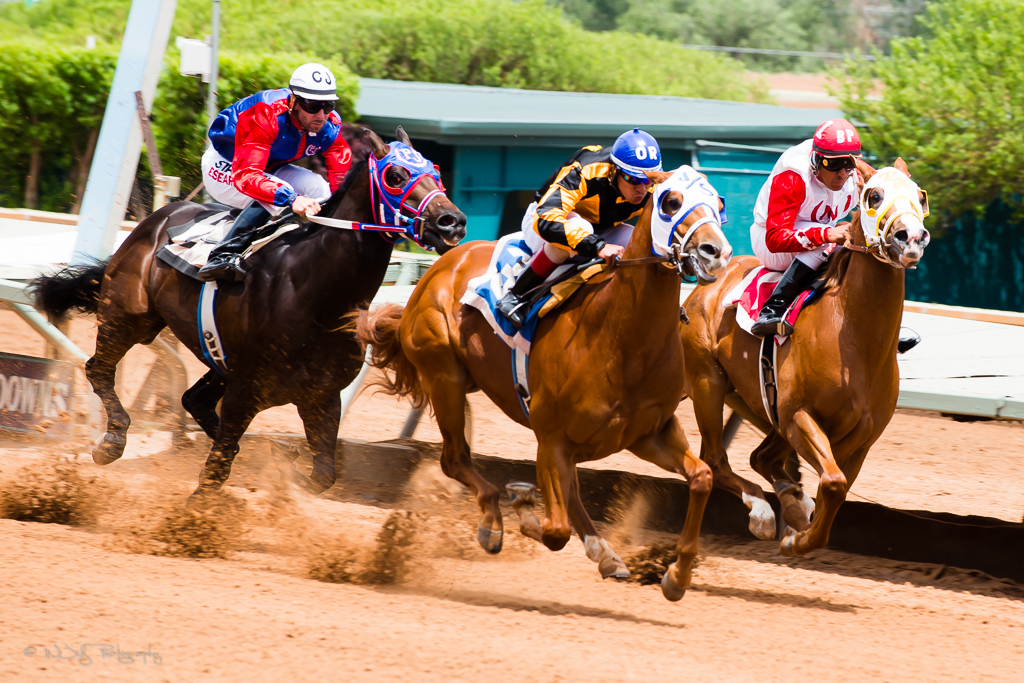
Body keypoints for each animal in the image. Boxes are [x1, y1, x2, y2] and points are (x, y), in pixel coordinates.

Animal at [31, 127, 466, 498]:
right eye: (395, 174)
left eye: (436, 170)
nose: (453, 222)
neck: (314, 292)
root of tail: (151, 223)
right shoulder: (248, 388)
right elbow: (214, 473)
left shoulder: (320, 396)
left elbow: (322, 475)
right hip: (130, 318)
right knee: (99, 368)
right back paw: (112, 441)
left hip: (217, 359)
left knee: (194, 400)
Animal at [359, 166, 733, 601]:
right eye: (671, 201)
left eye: (719, 203)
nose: (715, 252)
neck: (622, 337)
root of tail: (443, 264)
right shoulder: (552, 437)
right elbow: (555, 530)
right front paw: (520, 505)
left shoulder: (648, 433)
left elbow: (703, 478)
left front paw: (677, 576)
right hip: (444, 377)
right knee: (455, 459)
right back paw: (493, 523)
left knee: (566, 491)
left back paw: (607, 556)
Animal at [679, 158, 930, 556]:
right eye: (874, 195)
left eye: (920, 196)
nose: (911, 237)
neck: (856, 340)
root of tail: (702, 290)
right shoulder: (800, 416)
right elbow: (832, 484)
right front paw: (795, 540)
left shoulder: (860, 440)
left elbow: (835, 491)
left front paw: (800, 525)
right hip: (708, 383)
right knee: (717, 460)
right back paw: (763, 513)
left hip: (757, 404)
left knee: (760, 457)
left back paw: (790, 504)